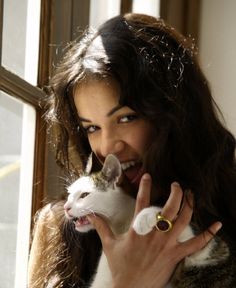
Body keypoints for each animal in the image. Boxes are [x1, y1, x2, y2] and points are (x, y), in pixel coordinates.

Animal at [64, 154, 229, 286]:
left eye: (84, 195)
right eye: (69, 194)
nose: (66, 207)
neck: (119, 227)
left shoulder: (195, 242)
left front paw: (142, 219)